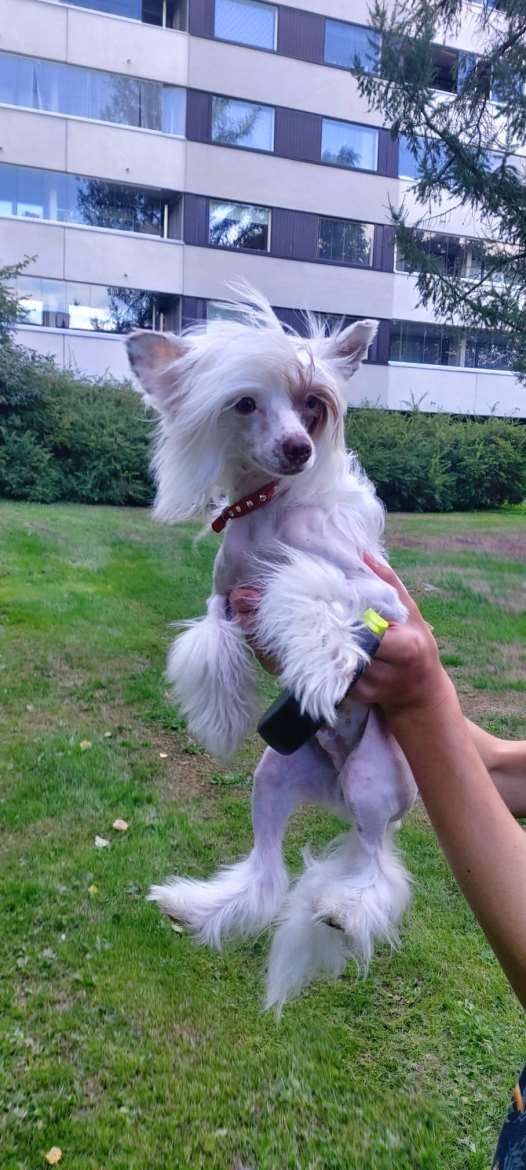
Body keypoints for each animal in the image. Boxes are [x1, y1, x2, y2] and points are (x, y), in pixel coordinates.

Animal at [126, 288, 417, 1010]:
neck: (265, 514)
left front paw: (326, 664)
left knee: (379, 866)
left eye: (313, 402)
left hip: (373, 785)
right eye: (244, 403)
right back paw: (195, 906)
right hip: (273, 777)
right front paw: (222, 718)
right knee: (266, 870)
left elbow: (302, 585)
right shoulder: (222, 600)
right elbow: (212, 640)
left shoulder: (384, 599)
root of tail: (337, 791)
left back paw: (344, 908)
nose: (298, 447)